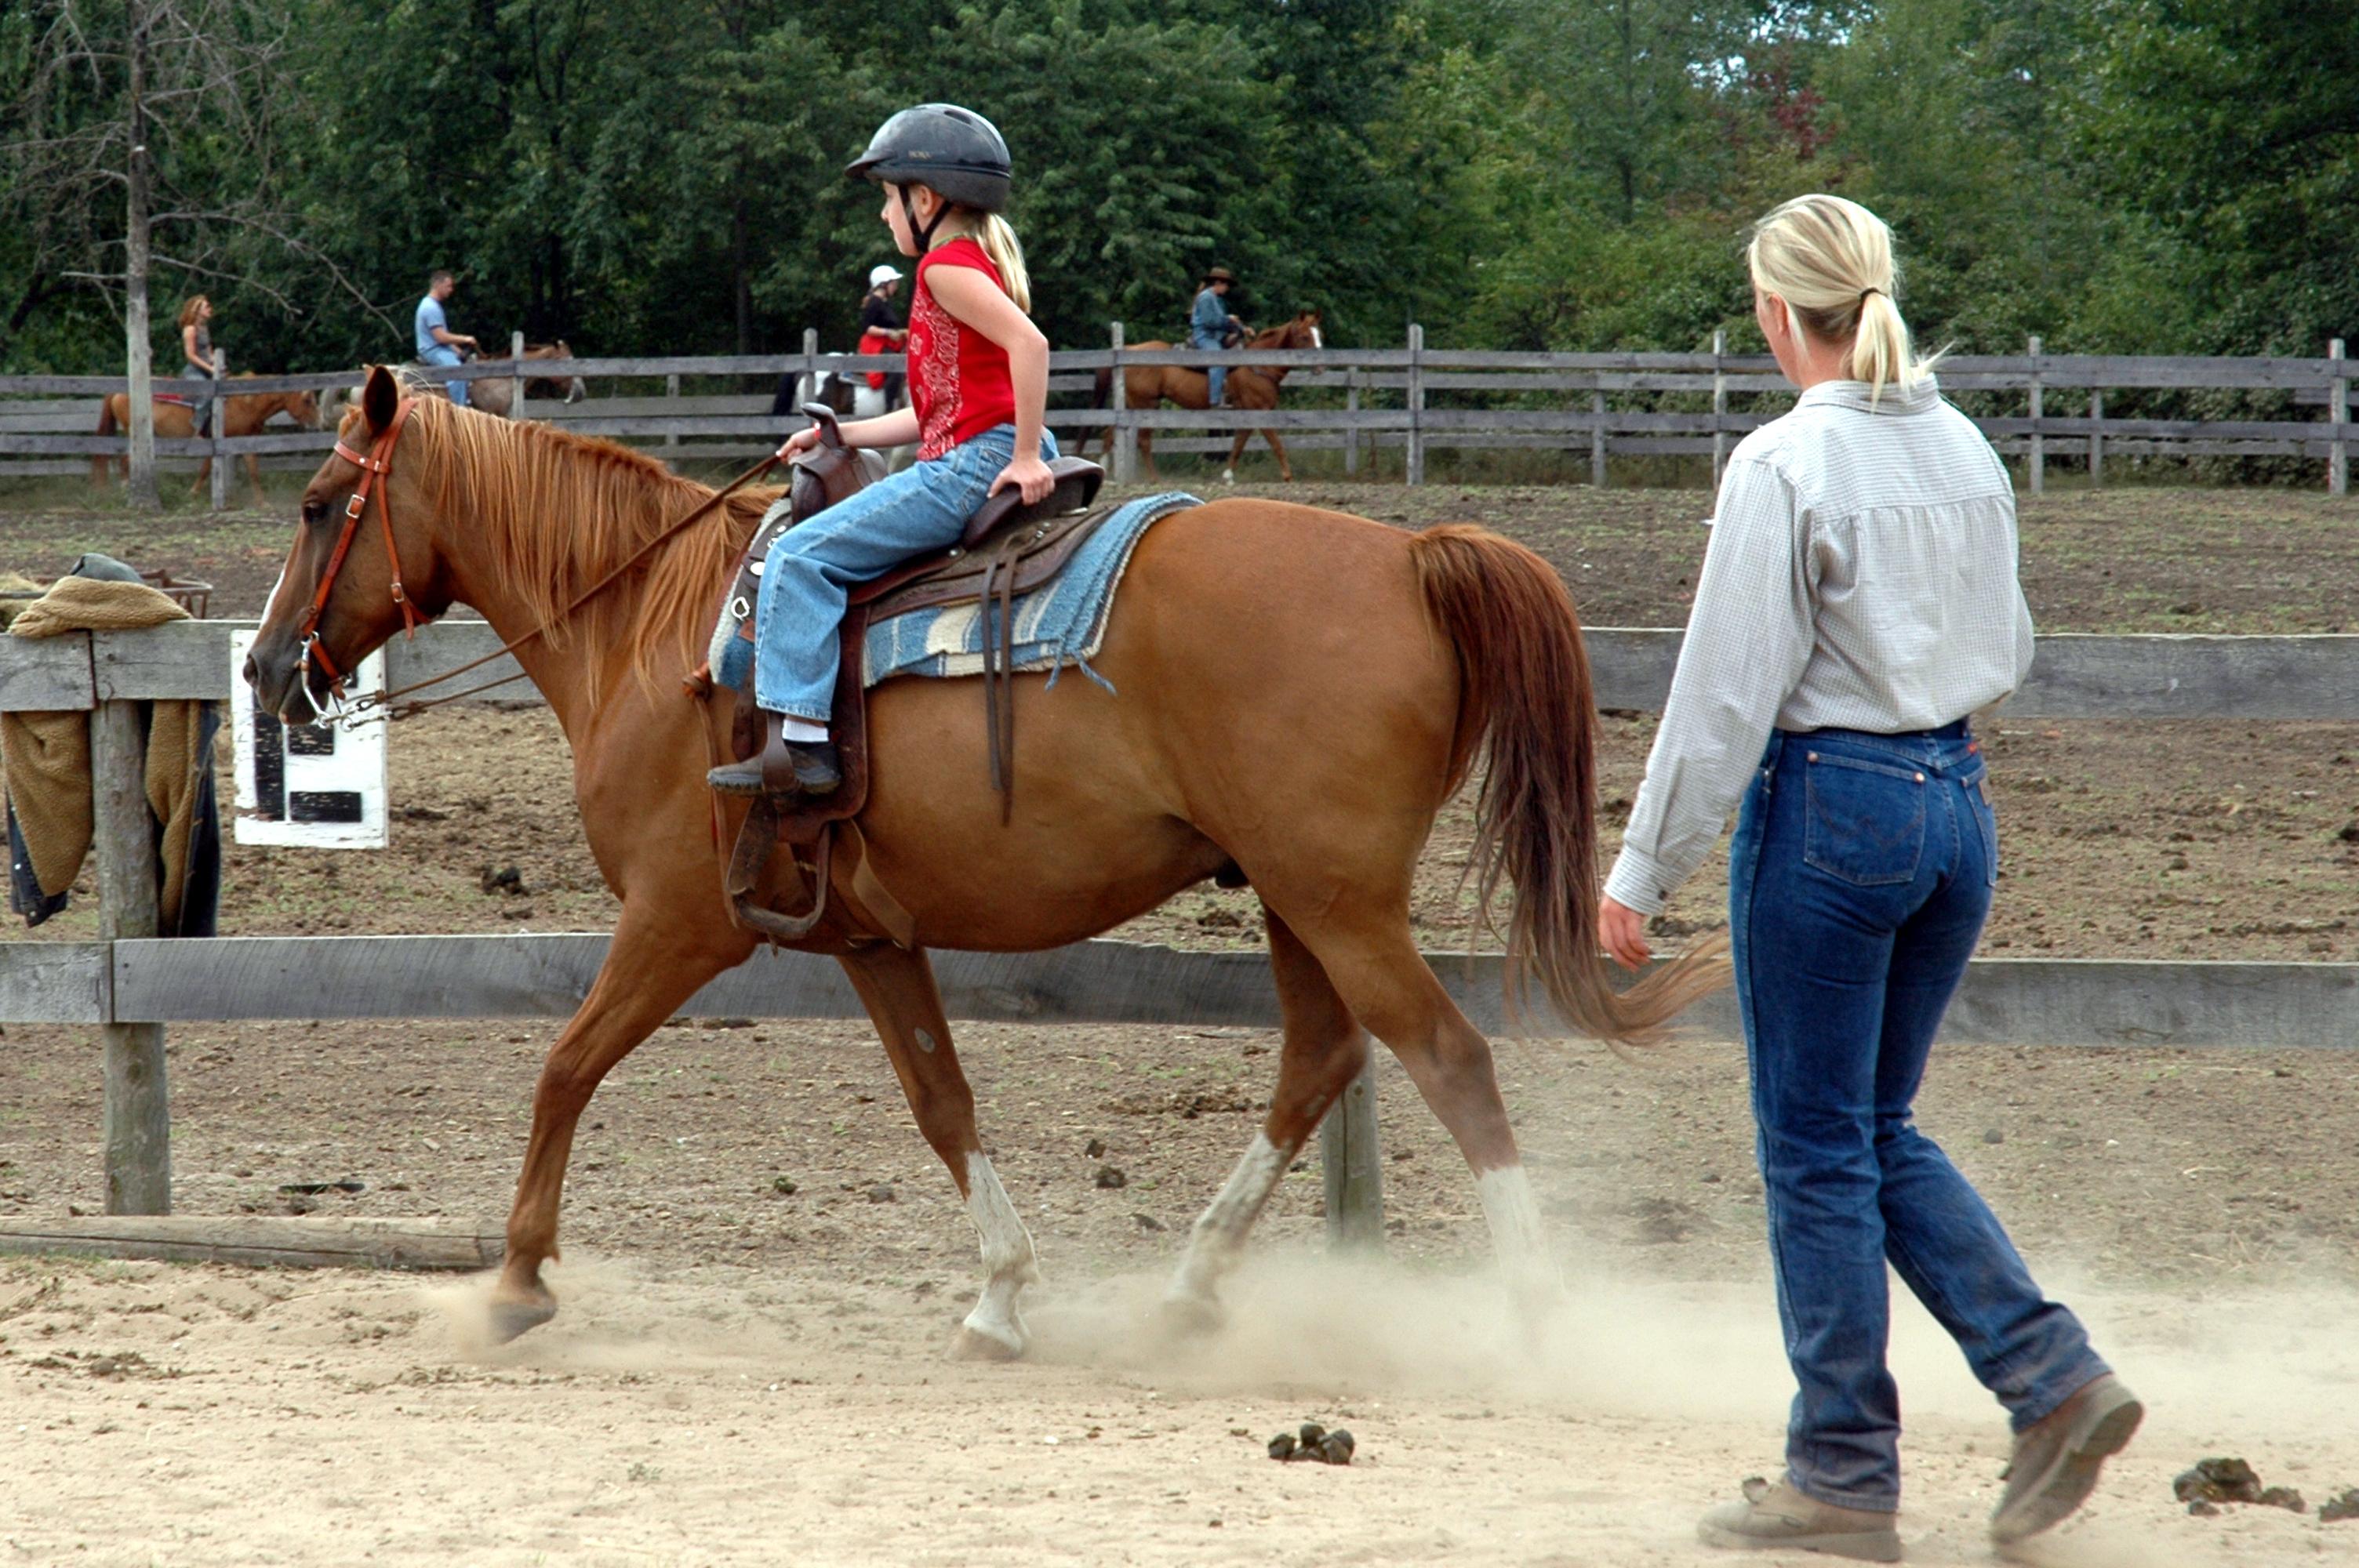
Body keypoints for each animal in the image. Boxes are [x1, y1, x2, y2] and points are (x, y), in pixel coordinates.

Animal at [90, 379, 323, 502]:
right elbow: (205, 469)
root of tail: (119, 391)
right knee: (125, 462)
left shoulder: (244, 441)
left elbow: (253, 471)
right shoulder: (214, 441)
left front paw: (262, 502)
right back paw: (124, 489)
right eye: (307, 400)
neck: (243, 404)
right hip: (134, 434)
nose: (319, 424)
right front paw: (193, 493)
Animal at [244, 368, 1736, 1358]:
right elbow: (940, 1101)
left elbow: (562, 1065)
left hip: (1337, 900)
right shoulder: (870, 936)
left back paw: (1535, 1308)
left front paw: (512, 1281)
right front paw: (1001, 1295)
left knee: (1447, 1056)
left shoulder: (681, 922)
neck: (659, 632)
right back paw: (1188, 1293)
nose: (264, 670)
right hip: (1297, 900)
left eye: (319, 504)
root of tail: (1413, 554)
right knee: (1321, 1059)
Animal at [1089, 306, 1330, 476]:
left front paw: (1227, 476)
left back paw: (1106, 472)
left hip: (1132, 404)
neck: (1259, 365)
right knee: (1143, 441)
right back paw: (1152, 479)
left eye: (1320, 334)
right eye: (1305, 336)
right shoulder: (1261, 411)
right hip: (1146, 406)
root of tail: (1129, 348)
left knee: (1109, 434)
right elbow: (1276, 444)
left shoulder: (1247, 413)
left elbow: (1239, 443)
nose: (1320, 367)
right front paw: (1288, 476)